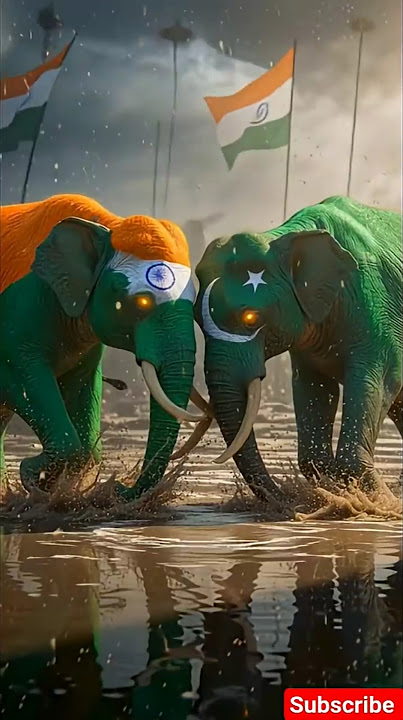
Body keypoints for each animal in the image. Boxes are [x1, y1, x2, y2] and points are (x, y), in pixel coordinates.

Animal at [0, 193, 210, 497]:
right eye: (142, 302)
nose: (119, 487)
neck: (107, 224)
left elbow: (82, 391)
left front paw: (46, 485)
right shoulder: (18, 316)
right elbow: (24, 380)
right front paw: (33, 479)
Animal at [185, 195, 402, 500]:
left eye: (251, 317)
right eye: (196, 317)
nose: (283, 499)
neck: (287, 236)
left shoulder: (376, 306)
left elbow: (381, 381)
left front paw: (382, 505)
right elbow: (316, 391)